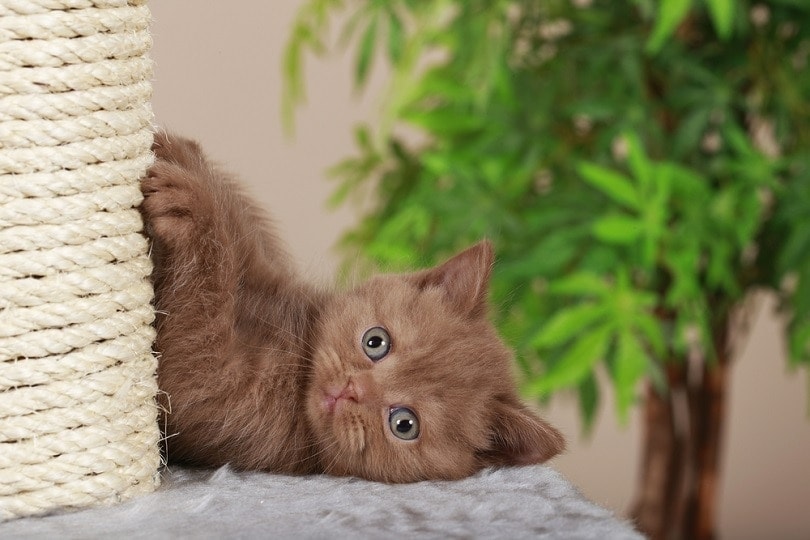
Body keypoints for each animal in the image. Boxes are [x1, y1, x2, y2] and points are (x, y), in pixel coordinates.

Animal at [140, 132, 560, 486]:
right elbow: (235, 224)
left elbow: (203, 305)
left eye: (404, 424)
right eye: (376, 342)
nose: (351, 390)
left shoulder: (217, 389)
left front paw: (188, 203)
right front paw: (180, 153)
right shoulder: (264, 264)